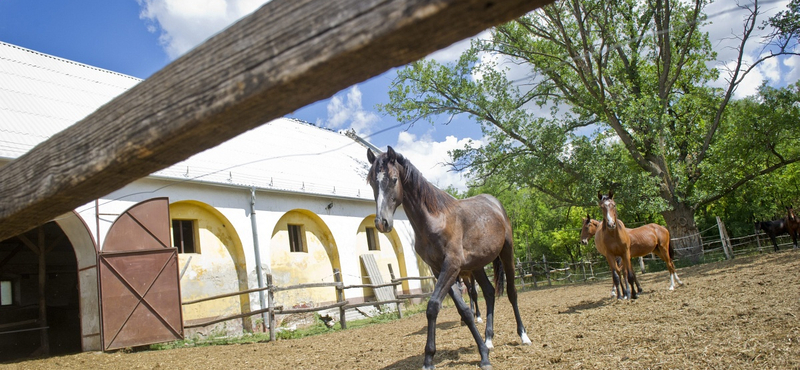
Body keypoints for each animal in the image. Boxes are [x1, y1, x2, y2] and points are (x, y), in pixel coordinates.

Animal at [368, 147, 532, 370]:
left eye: (394, 179)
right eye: (371, 182)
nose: (381, 223)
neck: (436, 220)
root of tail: (496, 204)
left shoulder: (451, 267)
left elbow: (433, 306)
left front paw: (432, 358)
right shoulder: (440, 270)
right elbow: (463, 310)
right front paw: (480, 352)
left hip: (508, 253)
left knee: (511, 293)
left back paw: (523, 336)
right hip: (477, 266)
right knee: (489, 292)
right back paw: (489, 339)